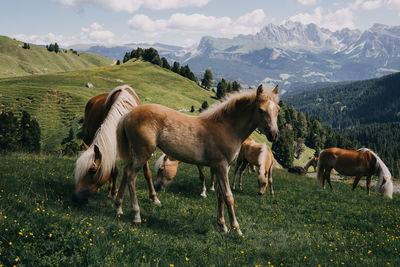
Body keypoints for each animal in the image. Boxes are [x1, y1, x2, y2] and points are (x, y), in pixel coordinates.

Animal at [114, 85, 280, 236]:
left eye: (278, 110)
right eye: (261, 110)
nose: (274, 135)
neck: (226, 127)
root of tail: (128, 114)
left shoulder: (223, 168)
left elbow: (220, 194)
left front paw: (222, 225)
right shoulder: (221, 166)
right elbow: (228, 196)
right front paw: (236, 229)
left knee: (125, 172)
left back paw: (118, 208)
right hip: (142, 153)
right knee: (131, 176)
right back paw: (136, 216)